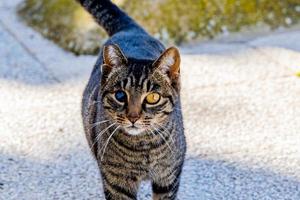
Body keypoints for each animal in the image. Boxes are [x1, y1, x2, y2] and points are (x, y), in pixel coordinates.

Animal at [77, 0, 185, 199]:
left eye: (152, 97)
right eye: (120, 95)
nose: (133, 117)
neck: (144, 148)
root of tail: (131, 29)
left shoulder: (168, 180)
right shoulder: (116, 184)